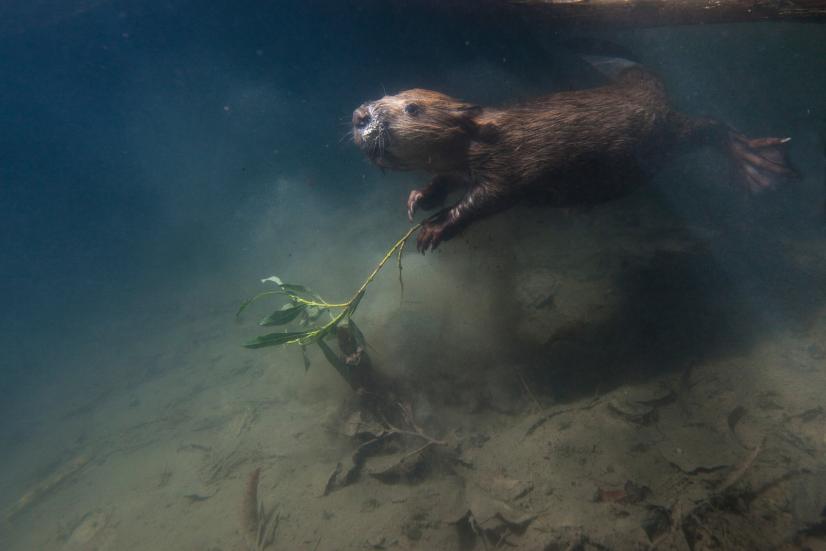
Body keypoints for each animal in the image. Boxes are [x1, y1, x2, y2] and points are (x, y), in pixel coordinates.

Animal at [350, 57, 796, 252]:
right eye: (393, 96)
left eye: (411, 108)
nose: (359, 115)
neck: (489, 131)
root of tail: (643, 88)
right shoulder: (459, 166)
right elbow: (444, 180)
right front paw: (417, 199)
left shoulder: (510, 161)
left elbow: (487, 198)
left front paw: (432, 230)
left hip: (665, 133)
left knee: (710, 127)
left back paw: (760, 164)